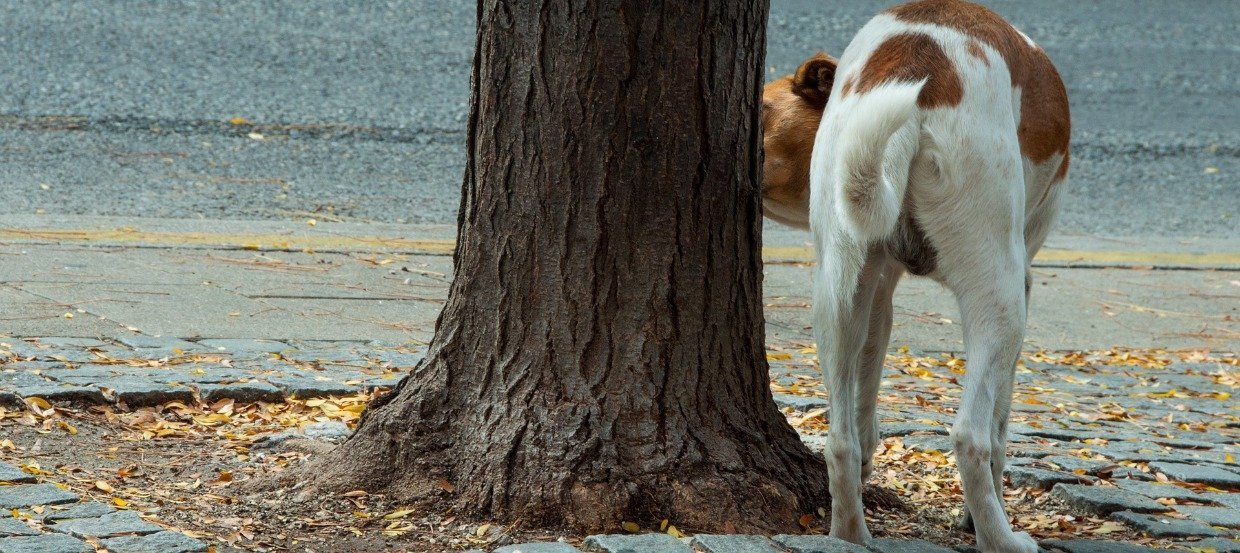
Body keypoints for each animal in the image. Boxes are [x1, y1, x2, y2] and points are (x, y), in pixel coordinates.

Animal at [758, 2, 1071, 550]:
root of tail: (918, 66)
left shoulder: (875, 288)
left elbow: (864, 404)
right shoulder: (1024, 284)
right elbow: (1000, 425)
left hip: (834, 299)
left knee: (839, 441)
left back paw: (850, 533)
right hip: (1000, 297)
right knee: (970, 435)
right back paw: (1001, 538)